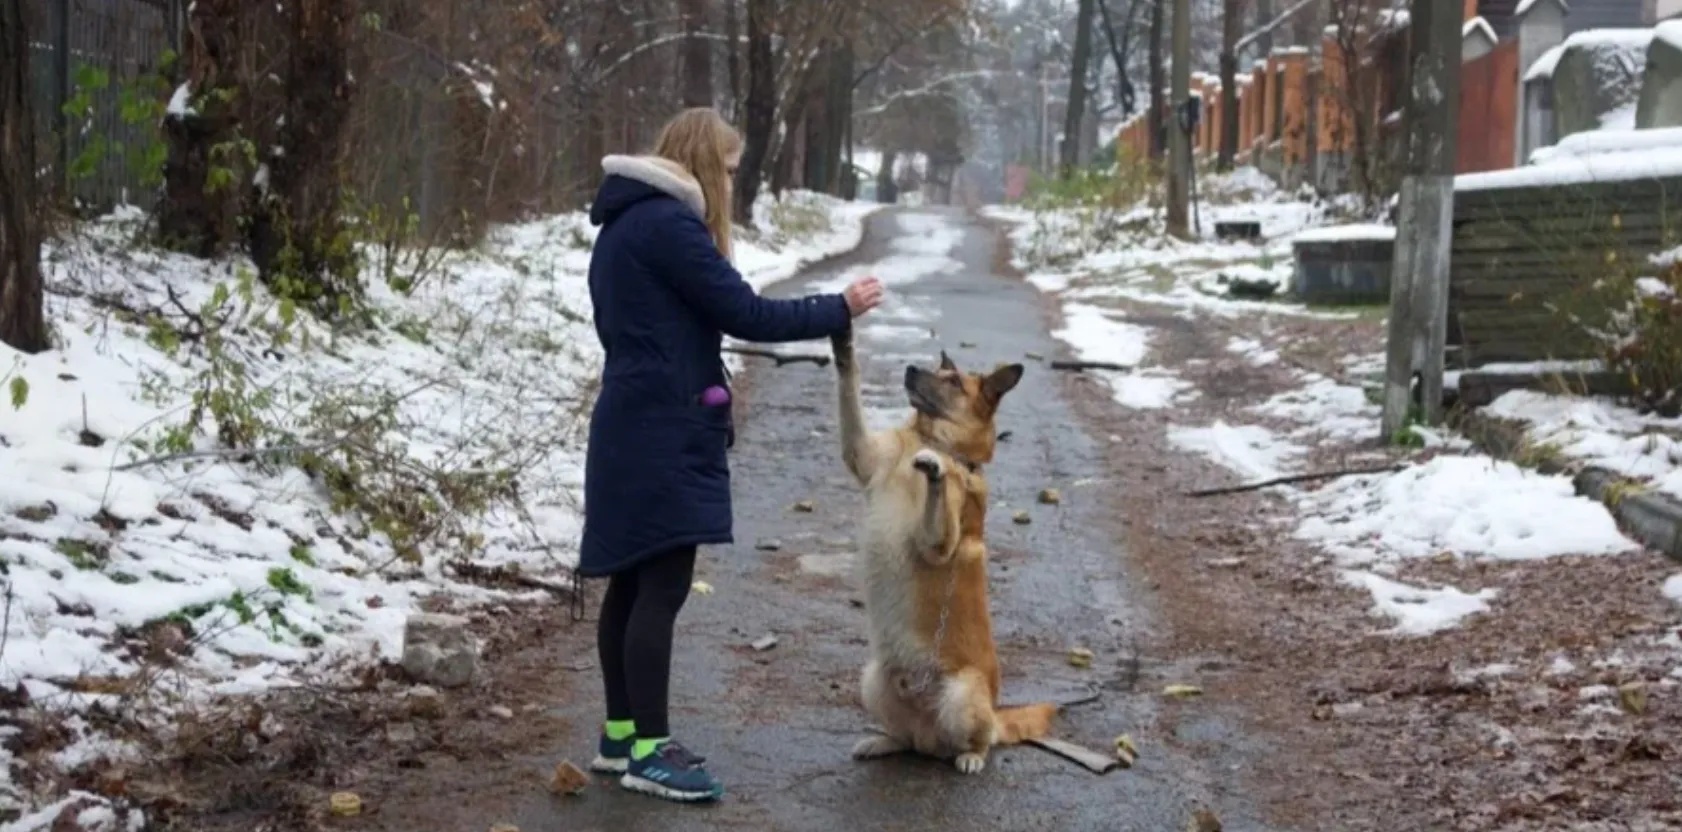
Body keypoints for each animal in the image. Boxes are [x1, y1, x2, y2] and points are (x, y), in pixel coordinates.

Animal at [827, 326, 1049, 776]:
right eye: (936, 369)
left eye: (954, 382)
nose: (912, 369)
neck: (928, 437)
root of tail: (930, 735)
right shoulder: (860, 452)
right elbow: (849, 385)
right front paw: (844, 345)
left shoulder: (937, 543)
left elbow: (941, 490)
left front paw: (937, 469)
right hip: (872, 681)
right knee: (906, 739)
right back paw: (883, 742)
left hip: (962, 695)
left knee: (980, 741)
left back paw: (970, 757)